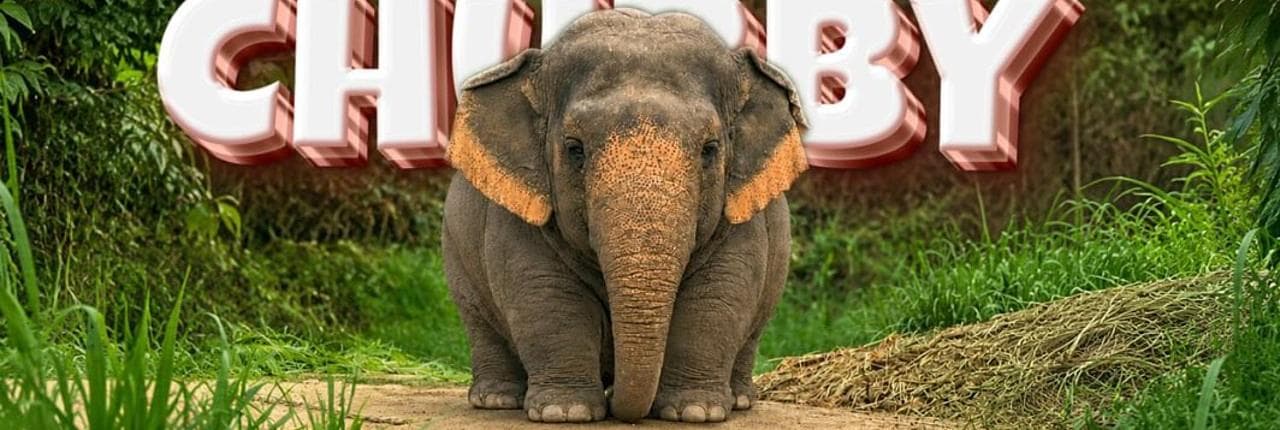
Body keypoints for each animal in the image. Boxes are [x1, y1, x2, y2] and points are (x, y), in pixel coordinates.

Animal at [441, 9, 807, 424]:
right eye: (574, 149)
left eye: (710, 149)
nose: (619, 401)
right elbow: (545, 294)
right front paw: (564, 412)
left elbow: (718, 294)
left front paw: (695, 412)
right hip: (456, 254)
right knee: (480, 322)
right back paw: (497, 400)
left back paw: (741, 400)